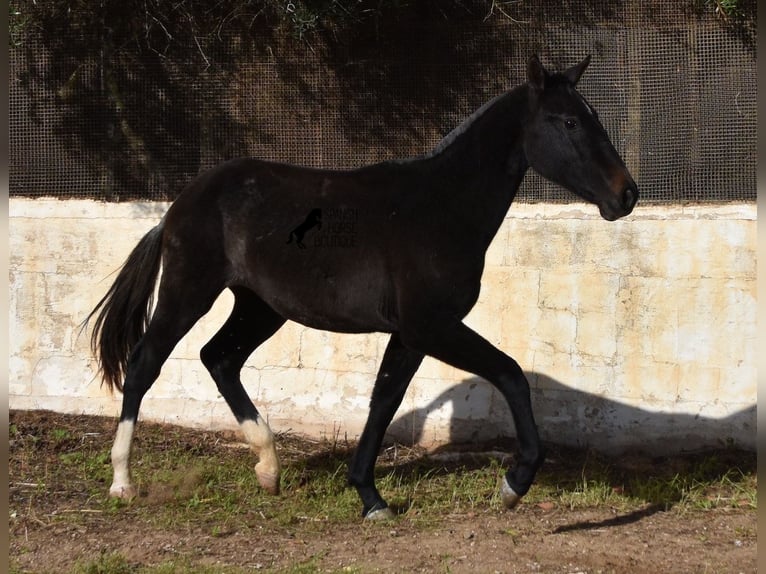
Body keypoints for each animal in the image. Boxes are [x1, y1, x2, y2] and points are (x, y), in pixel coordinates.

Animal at [84, 57, 640, 520]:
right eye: (569, 122)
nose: (627, 194)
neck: (439, 208)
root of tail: (181, 203)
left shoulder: (412, 334)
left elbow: (384, 399)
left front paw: (371, 498)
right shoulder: (432, 325)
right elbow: (511, 376)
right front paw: (513, 484)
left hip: (261, 308)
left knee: (219, 357)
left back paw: (268, 468)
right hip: (188, 292)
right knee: (144, 363)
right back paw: (123, 481)